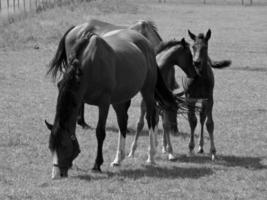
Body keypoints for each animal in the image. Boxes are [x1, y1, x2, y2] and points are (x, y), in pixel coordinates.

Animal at [45, 28, 187, 179]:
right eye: (50, 147)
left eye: (64, 146)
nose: (56, 174)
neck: (88, 66)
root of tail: (147, 44)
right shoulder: (82, 99)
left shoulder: (104, 104)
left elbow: (100, 132)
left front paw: (97, 165)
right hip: (120, 99)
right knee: (123, 122)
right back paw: (118, 159)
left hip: (147, 91)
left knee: (150, 118)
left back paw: (151, 156)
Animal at [185, 30, 233, 161]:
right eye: (193, 46)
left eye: (205, 47)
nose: (196, 62)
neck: (199, 77)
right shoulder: (190, 98)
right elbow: (192, 121)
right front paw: (190, 148)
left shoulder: (209, 98)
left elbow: (209, 124)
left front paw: (213, 152)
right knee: (198, 118)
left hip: (204, 100)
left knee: (202, 117)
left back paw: (201, 146)